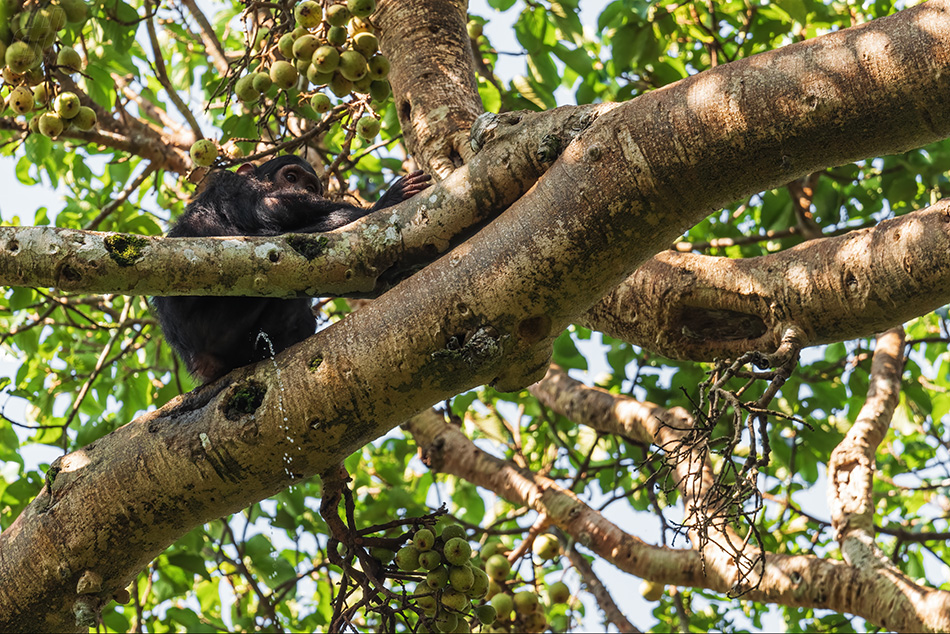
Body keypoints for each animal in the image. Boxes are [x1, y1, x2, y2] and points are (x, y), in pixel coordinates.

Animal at [152, 156, 432, 382]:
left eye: (309, 186)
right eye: (290, 177)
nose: (298, 188)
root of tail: (199, 359)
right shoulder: (241, 190)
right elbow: (273, 206)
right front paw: (387, 199)